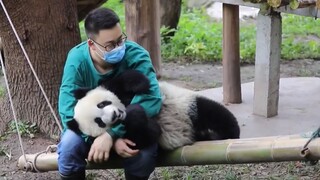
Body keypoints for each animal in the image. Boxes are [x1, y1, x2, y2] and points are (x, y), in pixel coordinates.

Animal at [67, 69, 240, 150]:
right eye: (99, 122)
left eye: (102, 104)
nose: (115, 115)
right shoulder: (130, 135)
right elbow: (147, 135)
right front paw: (135, 113)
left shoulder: (114, 87)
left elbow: (129, 78)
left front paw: (140, 85)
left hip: (188, 105)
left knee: (213, 113)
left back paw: (229, 133)